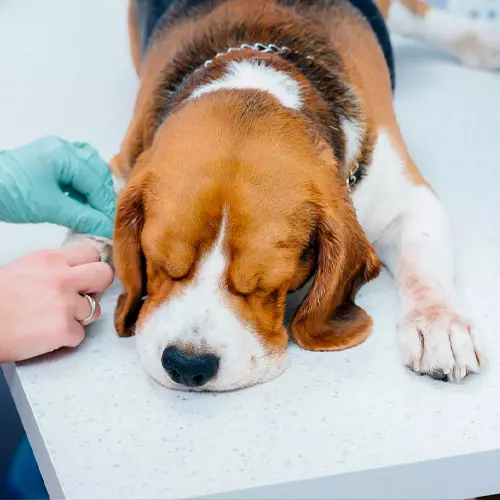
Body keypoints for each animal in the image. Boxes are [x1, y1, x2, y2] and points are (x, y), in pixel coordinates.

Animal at [68, 0, 498, 390]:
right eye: (158, 263)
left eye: (265, 285)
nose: (187, 366)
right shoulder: (125, 162)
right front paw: (82, 257)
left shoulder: (409, 198)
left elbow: (423, 261)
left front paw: (439, 322)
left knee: (424, 19)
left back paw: (484, 42)